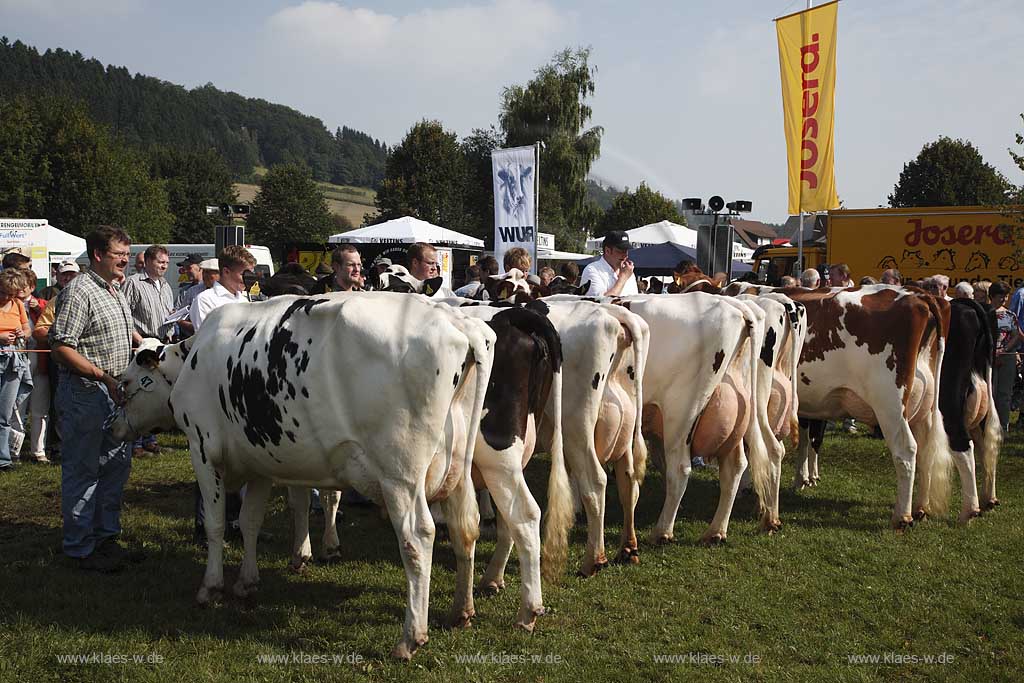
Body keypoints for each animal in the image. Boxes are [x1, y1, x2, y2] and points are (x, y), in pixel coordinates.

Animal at [111, 290, 495, 659]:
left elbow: (217, 523)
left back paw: (410, 638)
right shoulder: (260, 459)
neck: (193, 359)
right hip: (458, 466)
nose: (115, 429)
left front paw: (211, 586)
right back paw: (462, 611)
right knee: (466, 527)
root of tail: (455, 319)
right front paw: (247, 581)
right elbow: (250, 521)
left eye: (127, 384)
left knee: (418, 538)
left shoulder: (202, 449)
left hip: (400, 476)